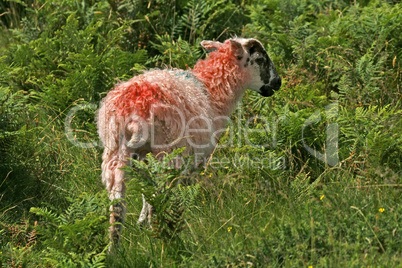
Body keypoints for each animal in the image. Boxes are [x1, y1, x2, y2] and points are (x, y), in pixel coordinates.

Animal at [96, 37, 282, 247]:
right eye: (260, 59)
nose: (278, 82)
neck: (213, 89)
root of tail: (132, 111)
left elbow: (145, 194)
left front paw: (140, 224)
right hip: (167, 153)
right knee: (157, 200)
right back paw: (162, 239)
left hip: (115, 151)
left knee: (117, 205)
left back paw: (114, 248)